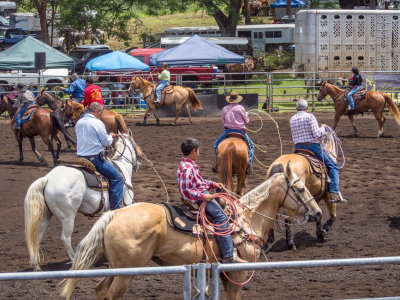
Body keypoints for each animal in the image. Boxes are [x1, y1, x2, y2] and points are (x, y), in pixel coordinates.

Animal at [24, 132, 141, 270]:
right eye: (134, 144)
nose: (138, 162)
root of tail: (48, 178)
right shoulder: (127, 203)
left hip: (47, 214)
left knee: (37, 236)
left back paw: (36, 265)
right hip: (67, 217)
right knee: (65, 238)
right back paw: (75, 260)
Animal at [60, 163, 322, 298]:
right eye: (300, 188)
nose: (318, 213)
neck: (247, 219)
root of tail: (115, 214)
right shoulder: (237, 273)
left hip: (116, 267)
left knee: (100, 290)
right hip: (126, 271)